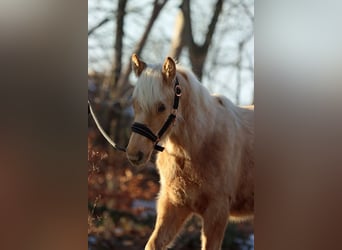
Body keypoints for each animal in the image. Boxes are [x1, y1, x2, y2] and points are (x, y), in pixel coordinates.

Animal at [126, 54, 254, 250]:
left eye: (161, 107)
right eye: (135, 104)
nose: (134, 154)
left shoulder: (217, 212)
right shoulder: (173, 205)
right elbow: (153, 244)